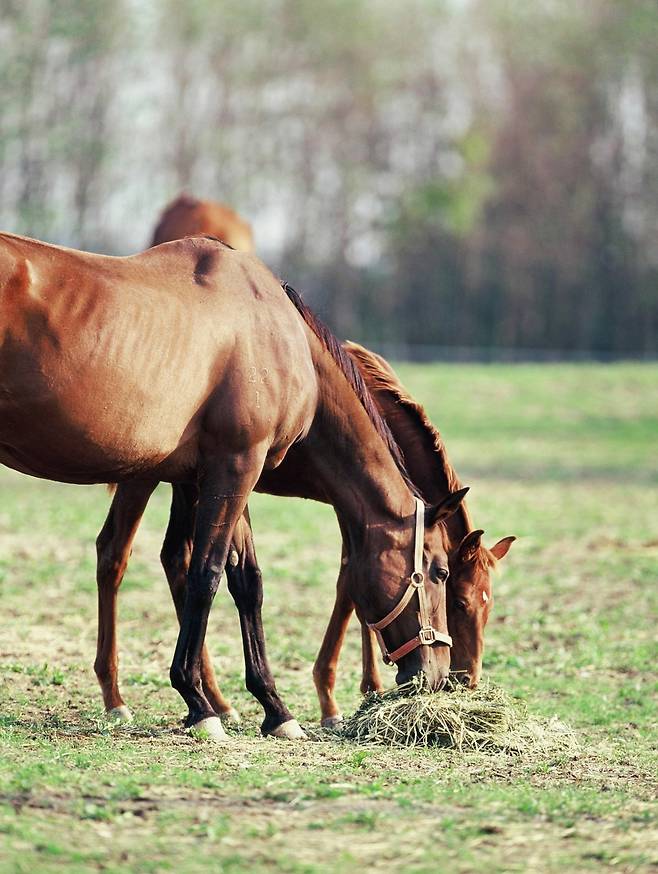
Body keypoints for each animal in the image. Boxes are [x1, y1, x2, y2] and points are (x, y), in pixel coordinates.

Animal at [1, 230, 462, 736]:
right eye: (440, 571)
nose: (439, 676)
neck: (279, 335)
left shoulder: (228, 473)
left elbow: (247, 581)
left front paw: (274, 708)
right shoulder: (237, 466)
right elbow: (206, 574)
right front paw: (199, 703)